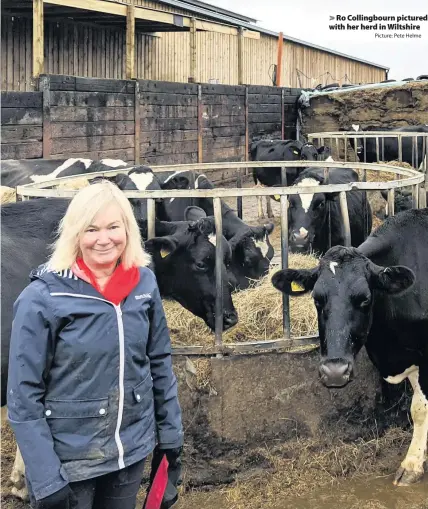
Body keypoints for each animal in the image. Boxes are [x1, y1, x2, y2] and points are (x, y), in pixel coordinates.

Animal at [270, 206, 428, 484]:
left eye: (364, 299)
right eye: (317, 299)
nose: (334, 372)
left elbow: (421, 408)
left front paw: (412, 465)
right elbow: (418, 408)